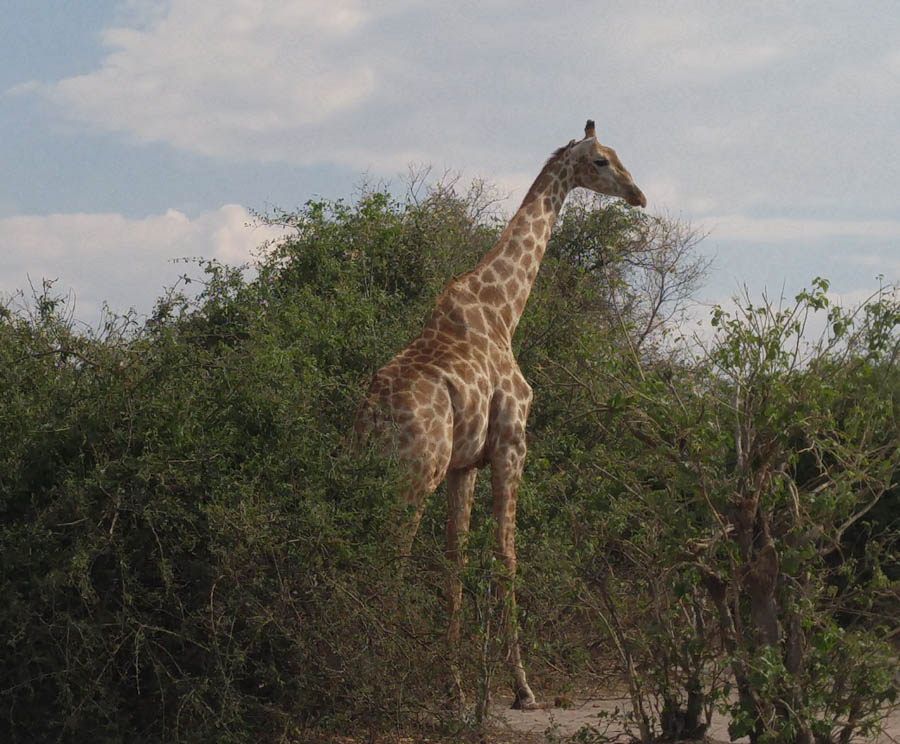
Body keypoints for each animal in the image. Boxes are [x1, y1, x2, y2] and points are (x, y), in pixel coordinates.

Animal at [356, 119, 644, 708]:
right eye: (601, 160)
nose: (638, 195)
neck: (504, 310)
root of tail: (373, 411)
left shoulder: (464, 465)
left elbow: (456, 560)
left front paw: (456, 683)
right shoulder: (513, 445)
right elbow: (506, 555)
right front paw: (519, 686)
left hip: (368, 468)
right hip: (413, 474)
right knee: (393, 551)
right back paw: (383, 670)